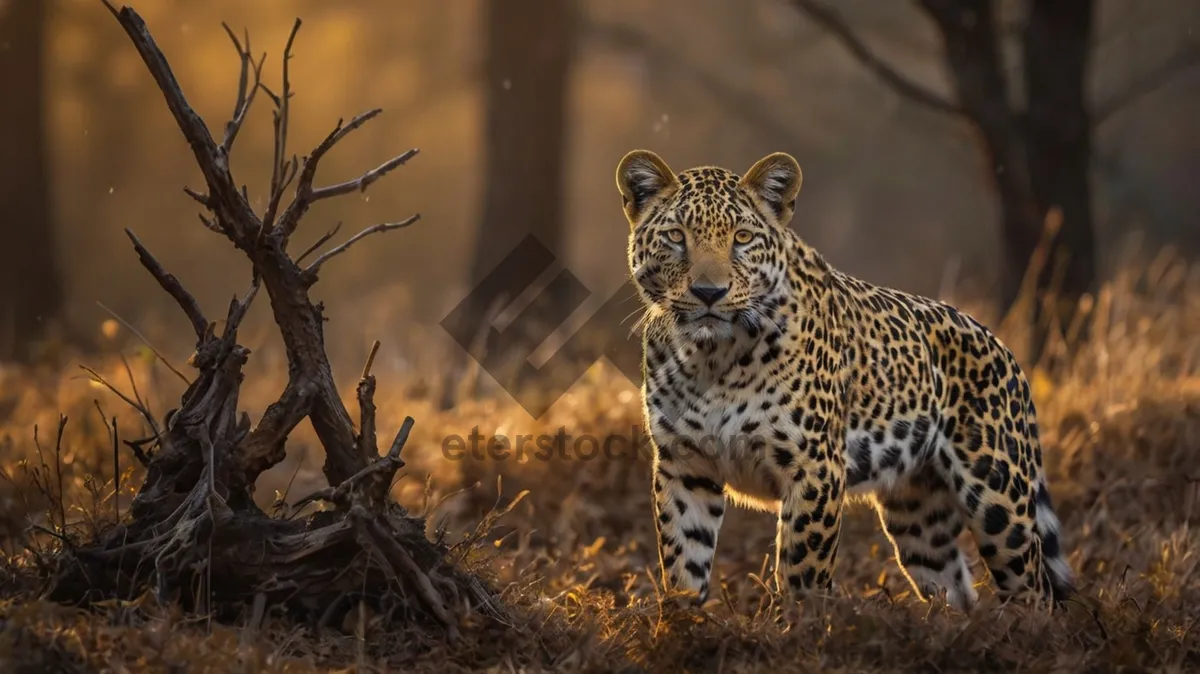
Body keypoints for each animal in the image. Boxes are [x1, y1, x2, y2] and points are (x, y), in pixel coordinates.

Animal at [614, 149, 1075, 611]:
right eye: (676, 236)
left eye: (742, 238)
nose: (710, 293)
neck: (712, 358)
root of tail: (1007, 352)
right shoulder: (684, 466)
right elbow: (682, 562)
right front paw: (681, 623)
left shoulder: (815, 468)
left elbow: (802, 569)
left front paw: (799, 624)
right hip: (918, 518)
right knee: (956, 587)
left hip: (998, 498)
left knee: (1035, 586)